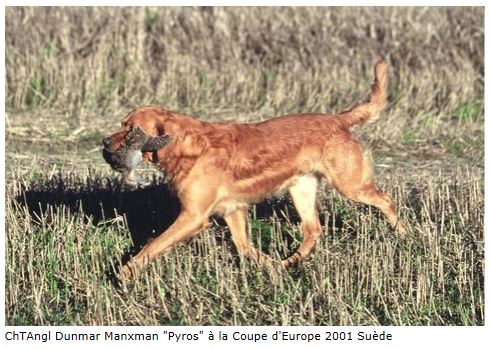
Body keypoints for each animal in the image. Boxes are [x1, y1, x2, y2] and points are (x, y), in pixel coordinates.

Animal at [101, 59, 404, 278]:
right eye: (122, 125)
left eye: (130, 129)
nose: (104, 142)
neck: (187, 146)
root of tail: (338, 119)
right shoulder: (233, 210)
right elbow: (246, 248)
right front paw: (272, 268)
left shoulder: (193, 216)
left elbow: (152, 245)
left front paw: (124, 273)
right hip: (302, 189)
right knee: (313, 230)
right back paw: (289, 263)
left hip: (351, 185)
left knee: (387, 201)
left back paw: (404, 235)